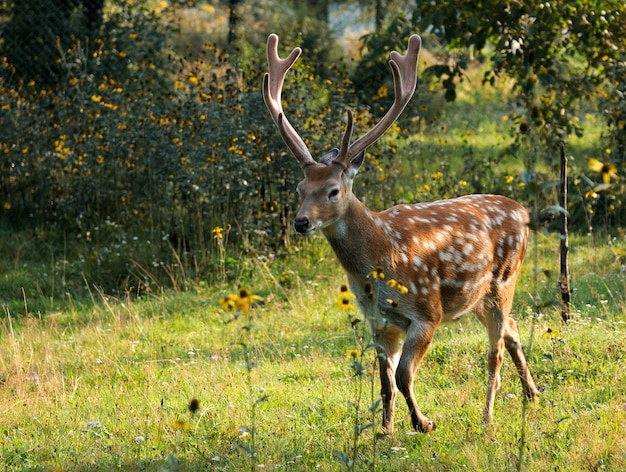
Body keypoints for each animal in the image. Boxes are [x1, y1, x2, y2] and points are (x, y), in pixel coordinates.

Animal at [260, 33, 540, 436]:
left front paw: (424, 423)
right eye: (300, 188)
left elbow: (404, 375)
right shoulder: (378, 321)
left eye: (333, 190)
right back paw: (533, 394)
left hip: (504, 281)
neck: (381, 259)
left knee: (495, 351)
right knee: (513, 330)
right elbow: (385, 382)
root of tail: (523, 211)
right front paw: (385, 431)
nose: (301, 222)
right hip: (477, 298)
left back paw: (487, 416)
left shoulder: (427, 311)